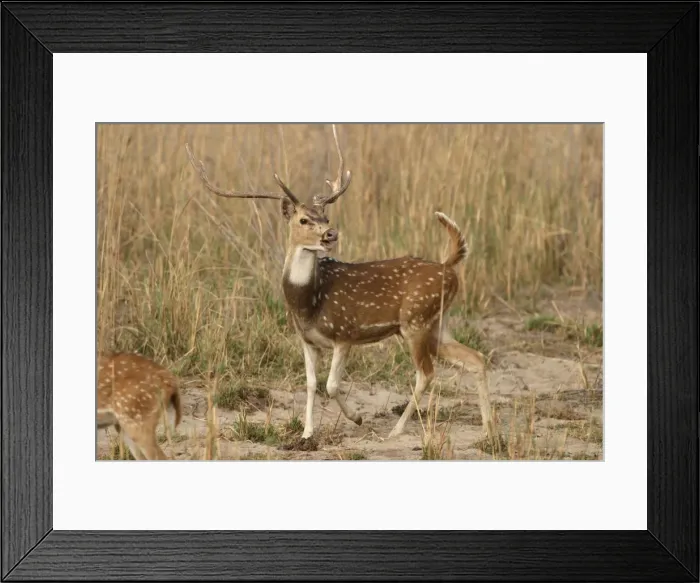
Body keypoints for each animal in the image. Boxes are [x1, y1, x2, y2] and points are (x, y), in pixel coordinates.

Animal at [185, 125, 496, 446]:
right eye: (304, 219)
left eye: (326, 216)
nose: (330, 234)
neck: (309, 303)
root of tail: (448, 267)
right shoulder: (307, 340)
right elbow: (311, 384)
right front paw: (307, 433)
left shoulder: (345, 332)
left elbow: (332, 385)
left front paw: (356, 418)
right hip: (436, 323)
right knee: (476, 358)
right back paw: (488, 430)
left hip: (416, 320)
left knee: (426, 372)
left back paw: (397, 430)